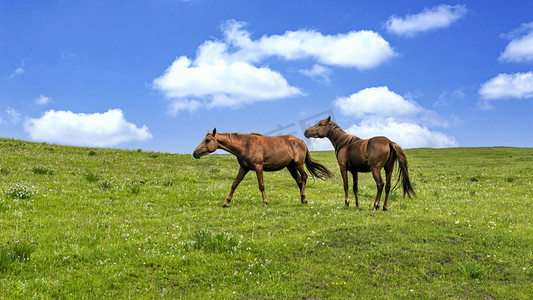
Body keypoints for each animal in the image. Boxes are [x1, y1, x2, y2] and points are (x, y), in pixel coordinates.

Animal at [191, 127, 332, 207]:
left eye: (207, 140)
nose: (195, 153)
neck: (246, 145)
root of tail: (301, 141)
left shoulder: (258, 167)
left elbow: (261, 185)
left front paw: (265, 202)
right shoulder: (243, 168)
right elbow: (234, 184)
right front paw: (226, 203)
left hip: (298, 164)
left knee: (304, 177)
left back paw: (304, 198)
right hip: (291, 167)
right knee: (299, 180)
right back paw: (303, 199)